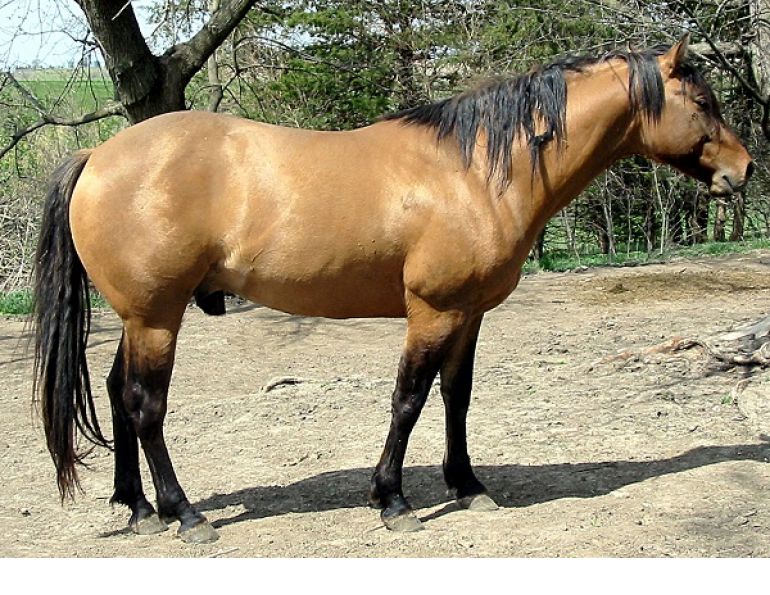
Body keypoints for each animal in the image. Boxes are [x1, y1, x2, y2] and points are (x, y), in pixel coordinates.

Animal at [32, 35, 753, 544]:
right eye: (704, 103)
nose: (743, 170)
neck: (476, 170)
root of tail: (97, 156)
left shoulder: (468, 313)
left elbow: (457, 398)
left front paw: (468, 485)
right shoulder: (432, 312)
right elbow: (408, 400)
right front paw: (393, 499)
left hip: (139, 317)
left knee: (116, 396)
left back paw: (137, 507)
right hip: (157, 316)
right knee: (145, 405)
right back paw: (183, 514)